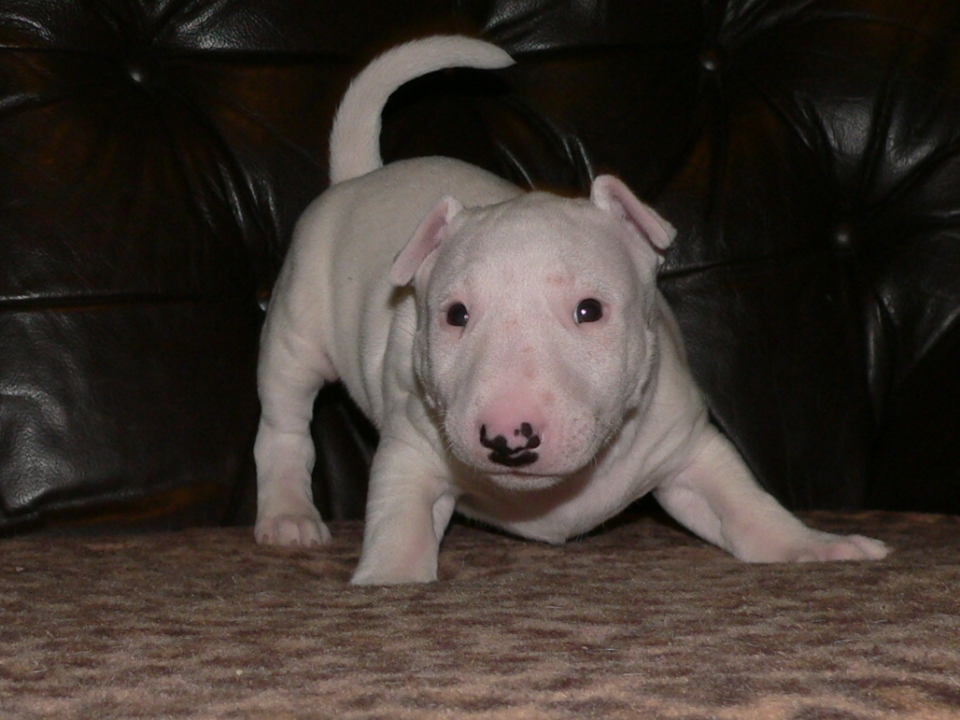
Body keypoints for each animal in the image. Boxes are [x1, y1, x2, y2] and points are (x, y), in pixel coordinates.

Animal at [253, 36, 889, 584]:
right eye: (455, 315)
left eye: (590, 311)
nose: (507, 438)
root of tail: (364, 175)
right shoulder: (411, 447)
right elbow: (398, 522)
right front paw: (389, 578)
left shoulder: (687, 447)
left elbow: (745, 503)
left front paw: (816, 547)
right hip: (293, 332)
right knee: (283, 425)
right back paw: (288, 516)